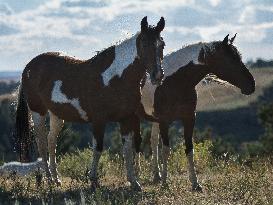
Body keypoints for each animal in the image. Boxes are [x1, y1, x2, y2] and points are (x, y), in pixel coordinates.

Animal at [15, 16, 165, 191]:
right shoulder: (99, 120)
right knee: (42, 144)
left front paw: (134, 182)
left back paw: (56, 179)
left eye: (162, 44)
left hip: (56, 115)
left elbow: (128, 149)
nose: (157, 76)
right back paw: (49, 179)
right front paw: (93, 180)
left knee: (51, 141)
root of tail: (29, 67)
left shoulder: (127, 119)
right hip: (38, 111)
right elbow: (98, 148)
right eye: (144, 44)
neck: (114, 77)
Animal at [140, 34, 255, 191]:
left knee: (152, 140)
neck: (174, 82)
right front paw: (165, 183)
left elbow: (189, 149)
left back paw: (156, 176)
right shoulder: (164, 121)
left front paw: (195, 183)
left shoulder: (189, 118)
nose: (251, 85)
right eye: (230, 59)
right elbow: (166, 150)